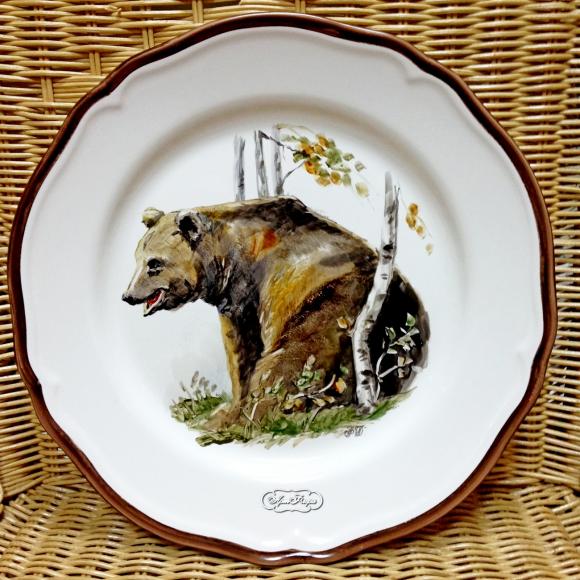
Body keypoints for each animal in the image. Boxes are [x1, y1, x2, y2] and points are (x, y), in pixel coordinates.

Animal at [122, 196, 427, 427]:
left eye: (154, 264)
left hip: (331, 309)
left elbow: (244, 350)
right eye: (137, 258)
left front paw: (231, 411)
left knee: (291, 362)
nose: (127, 296)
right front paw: (231, 407)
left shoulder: (248, 293)